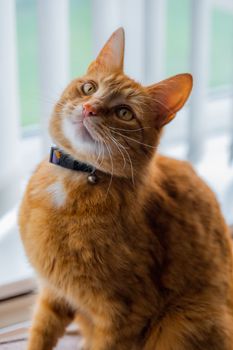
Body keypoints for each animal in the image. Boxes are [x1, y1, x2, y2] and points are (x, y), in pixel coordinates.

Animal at [18, 28, 233, 350]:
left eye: (124, 113)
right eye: (89, 88)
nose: (89, 108)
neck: (75, 176)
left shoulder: (124, 314)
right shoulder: (54, 293)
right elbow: (39, 335)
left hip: (184, 319)